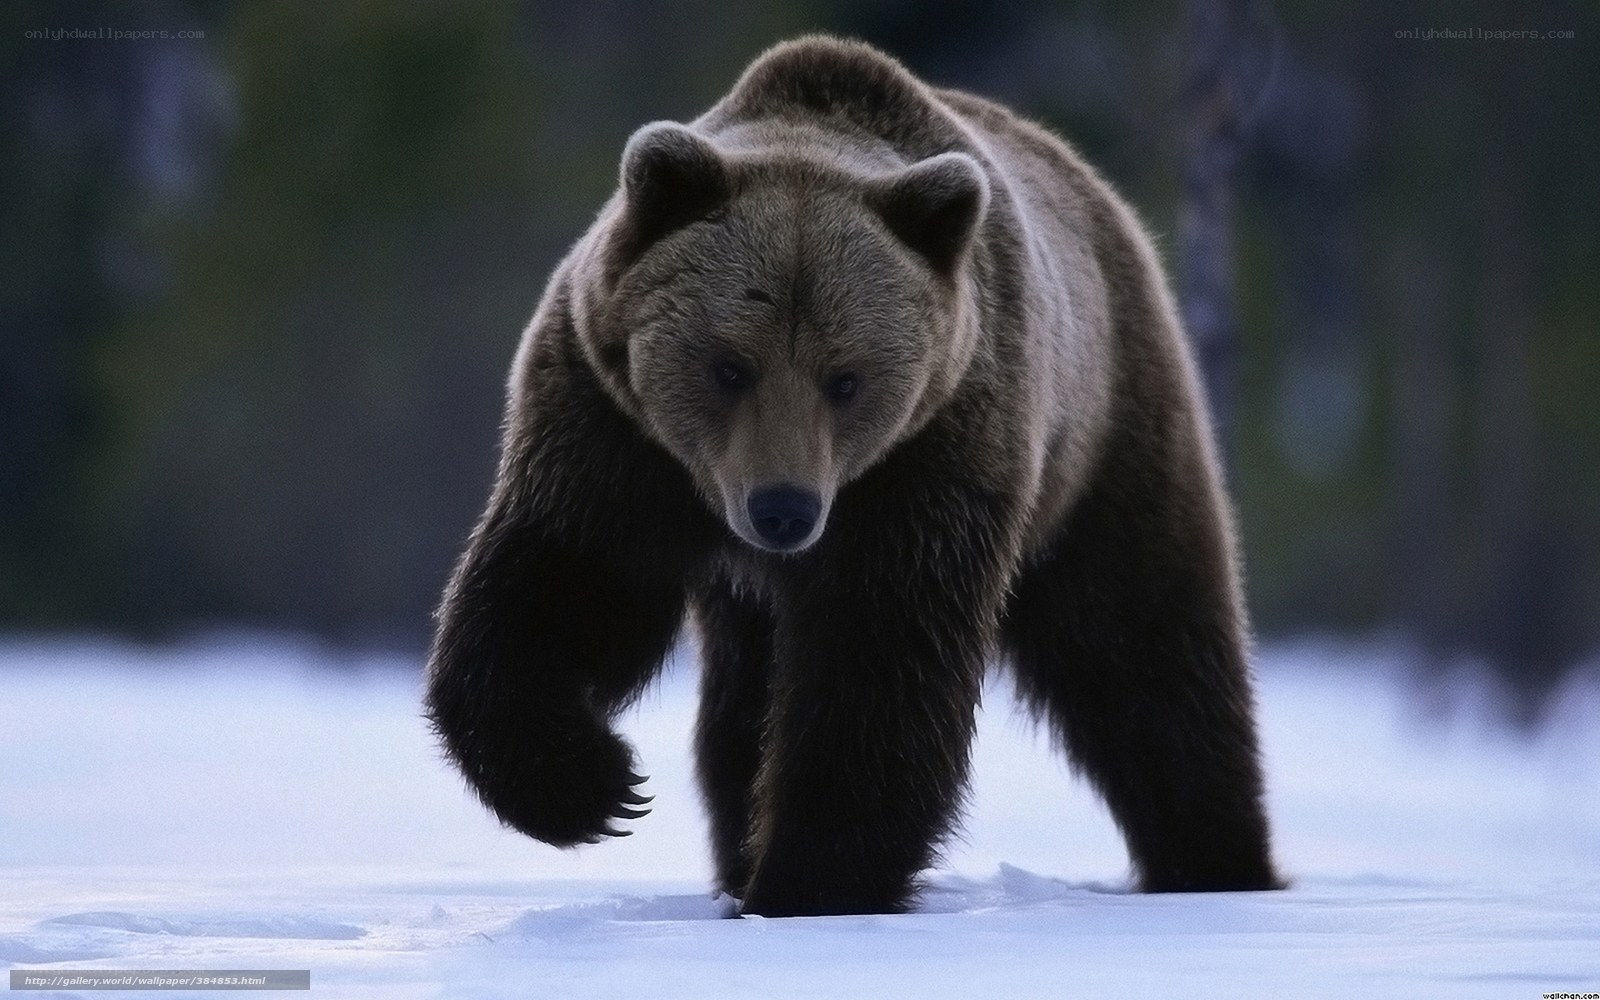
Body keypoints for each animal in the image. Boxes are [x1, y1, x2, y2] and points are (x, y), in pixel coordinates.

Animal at [425, 35, 1280, 917]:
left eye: (846, 378)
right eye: (730, 366)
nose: (783, 509)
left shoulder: (931, 457)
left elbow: (879, 661)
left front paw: (809, 882)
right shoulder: (612, 432)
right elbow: (565, 584)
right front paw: (593, 787)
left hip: (1106, 437)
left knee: (1143, 649)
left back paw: (1215, 860)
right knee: (741, 707)